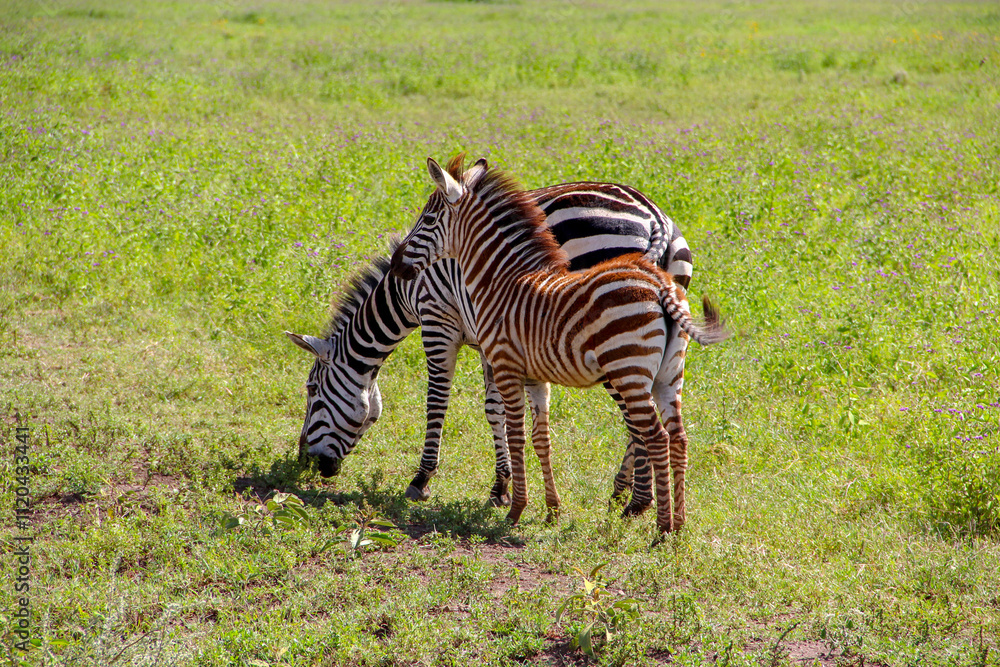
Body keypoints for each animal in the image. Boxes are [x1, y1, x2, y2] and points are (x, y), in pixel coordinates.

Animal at [287, 163, 695, 513]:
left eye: (312, 390)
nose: (302, 463)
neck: (407, 292)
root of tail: (656, 218)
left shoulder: (439, 322)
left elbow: (437, 402)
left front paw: (422, 479)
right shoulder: (492, 337)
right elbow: (494, 409)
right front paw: (501, 486)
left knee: (636, 417)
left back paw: (637, 499)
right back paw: (625, 493)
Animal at [389, 156, 727, 533]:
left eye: (428, 220)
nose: (396, 264)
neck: (501, 280)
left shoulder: (496, 358)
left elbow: (509, 430)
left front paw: (512, 507)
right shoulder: (535, 375)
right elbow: (542, 437)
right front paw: (551, 509)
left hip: (626, 368)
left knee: (654, 436)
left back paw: (655, 522)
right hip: (667, 373)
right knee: (678, 437)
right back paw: (676, 524)